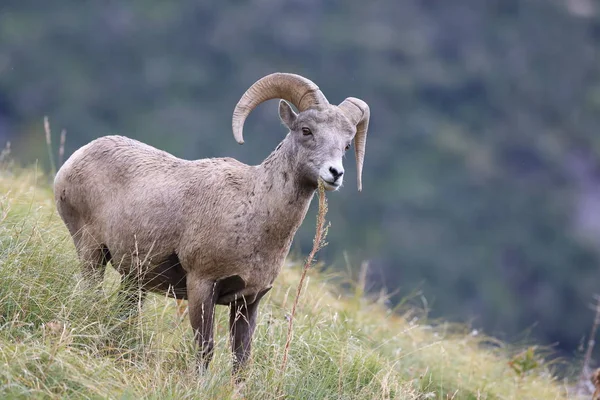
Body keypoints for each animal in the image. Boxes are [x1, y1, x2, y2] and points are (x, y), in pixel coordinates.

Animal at [54, 72, 368, 376]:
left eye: (346, 144)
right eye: (306, 130)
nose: (335, 173)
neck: (254, 213)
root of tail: (76, 159)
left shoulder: (248, 302)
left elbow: (241, 361)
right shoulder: (202, 286)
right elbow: (205, 349)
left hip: (134, 279)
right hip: (92, 252)